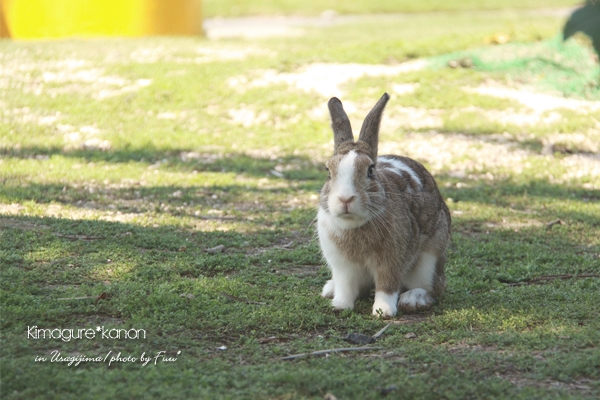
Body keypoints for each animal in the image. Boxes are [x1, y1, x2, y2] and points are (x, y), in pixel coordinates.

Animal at [318, 92, 450, 318]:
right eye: (328, 171)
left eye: (370, 170)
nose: (345, 199)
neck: (354, 225)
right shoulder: (342, 266)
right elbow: (345, 287)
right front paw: (340, 305)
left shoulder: (391, 262)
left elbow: (387, 286)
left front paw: (383, 311)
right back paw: (330, 289)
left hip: (430, 259)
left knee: (432, 289)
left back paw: (413, 299)